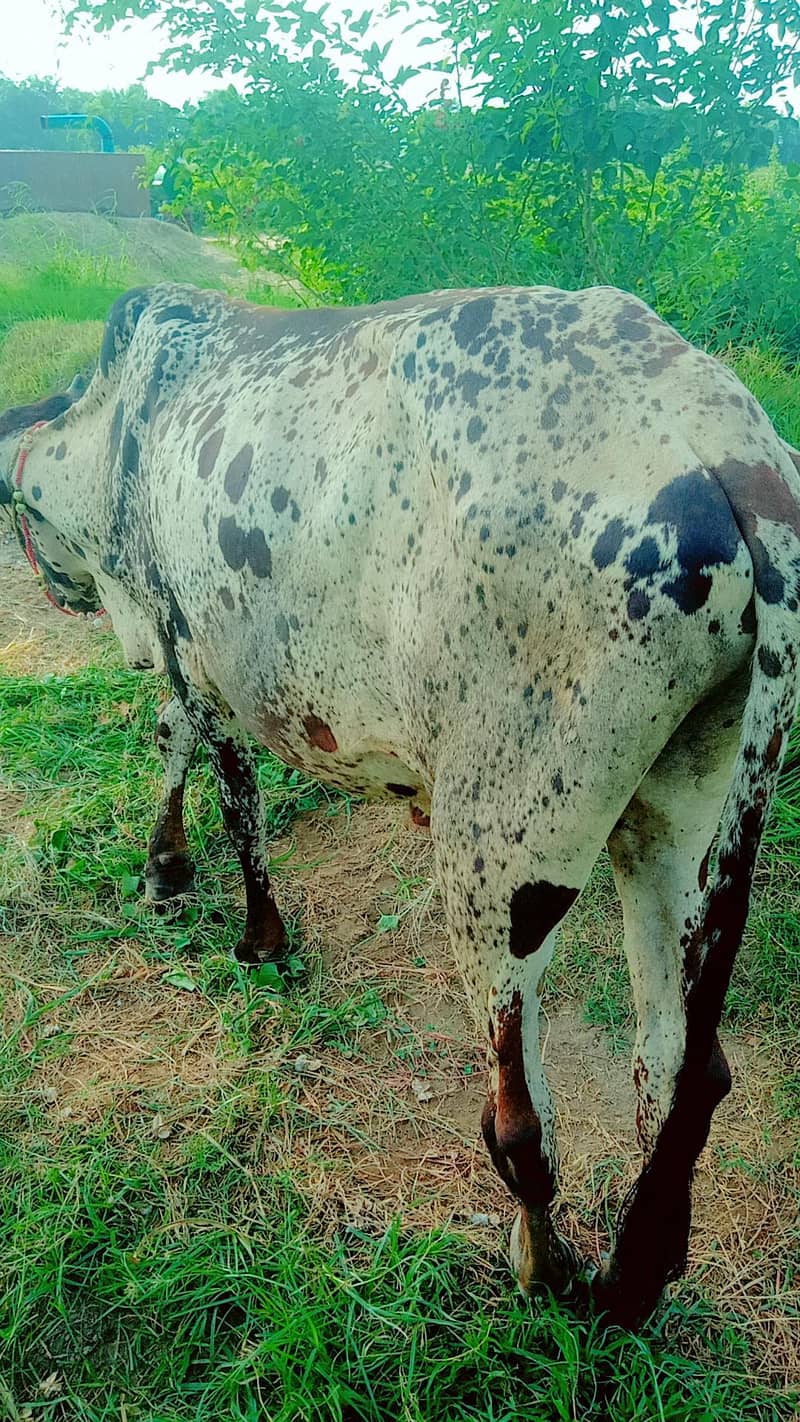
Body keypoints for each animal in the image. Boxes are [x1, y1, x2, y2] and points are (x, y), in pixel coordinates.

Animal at [1, 281, 799, 1330]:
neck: (124, 427)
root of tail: (731, 455)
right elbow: (178, 743)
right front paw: (165, 870)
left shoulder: (192, 649)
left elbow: (227, 787)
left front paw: (252, 930)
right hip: (675, 819)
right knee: (679, 1066)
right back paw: (640, 1269)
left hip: (497, 855)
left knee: (522, 1122)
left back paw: (545, 1268)